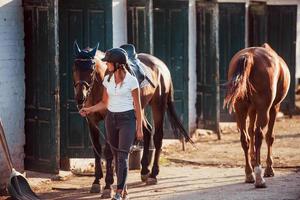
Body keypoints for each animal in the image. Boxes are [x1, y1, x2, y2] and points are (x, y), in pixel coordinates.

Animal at [72, 41, 192, 191]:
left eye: (91, 69)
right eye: (74, 68)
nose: (80, 98)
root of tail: (162, 66)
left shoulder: (108, 121)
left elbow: (108, 150)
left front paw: (108, 183)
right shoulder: (91, 121)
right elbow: (96, 148)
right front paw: (96, 181)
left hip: (158, 105)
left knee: (158, 136)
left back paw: (153, 174)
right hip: (139, 107)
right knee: (147, 130)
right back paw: (144, 170)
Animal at [223, 43, 290, 188]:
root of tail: (250, 55)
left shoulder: (252, 110)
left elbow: (250, 131)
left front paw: (253, 160)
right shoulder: (274, 107)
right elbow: (269, 136)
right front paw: (269, 168)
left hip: (240, 108)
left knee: (245, 138)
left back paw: (249, 174)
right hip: (264, 109)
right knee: (260, 135)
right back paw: (259, 177)